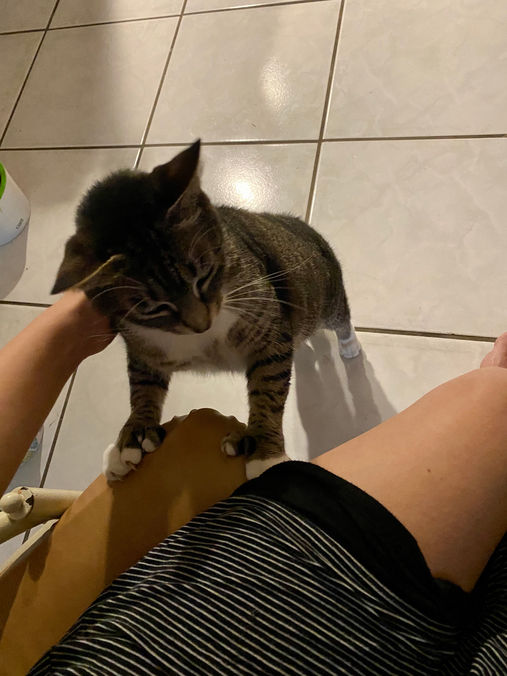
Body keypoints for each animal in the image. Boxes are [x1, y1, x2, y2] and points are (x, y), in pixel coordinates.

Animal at [52, 141, 360, 481]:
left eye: (204, 275)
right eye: (152, 307)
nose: (202, 324)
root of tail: (296, 222)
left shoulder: (267, 330)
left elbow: (267, 388)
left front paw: (266, 453)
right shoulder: (144, 347)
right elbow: (142, 386)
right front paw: (132, 436)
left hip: (327, 298)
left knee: (341, 319)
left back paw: (349, 346)